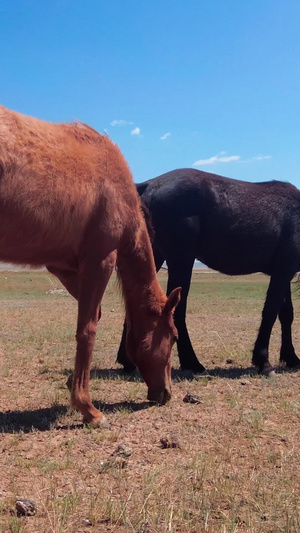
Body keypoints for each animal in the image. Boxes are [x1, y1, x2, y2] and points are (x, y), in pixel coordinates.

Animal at [0, 106, 180, 426]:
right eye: (173, 337)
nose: (166, 394)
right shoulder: (101, 260)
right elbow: (88, 329)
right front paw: (88, 408)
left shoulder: (64, 267)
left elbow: (92, 316)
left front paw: (73, 386)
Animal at [116, 167, 300, 374]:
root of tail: (150, 185)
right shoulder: (283, 271)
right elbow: (270, 312)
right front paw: (264, 361)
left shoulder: (284, 273)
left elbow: (286, 314)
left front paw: (291, 357)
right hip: (181, 259)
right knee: (177, 308)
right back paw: (192, 363)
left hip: (154, 255)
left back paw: (128, 361)